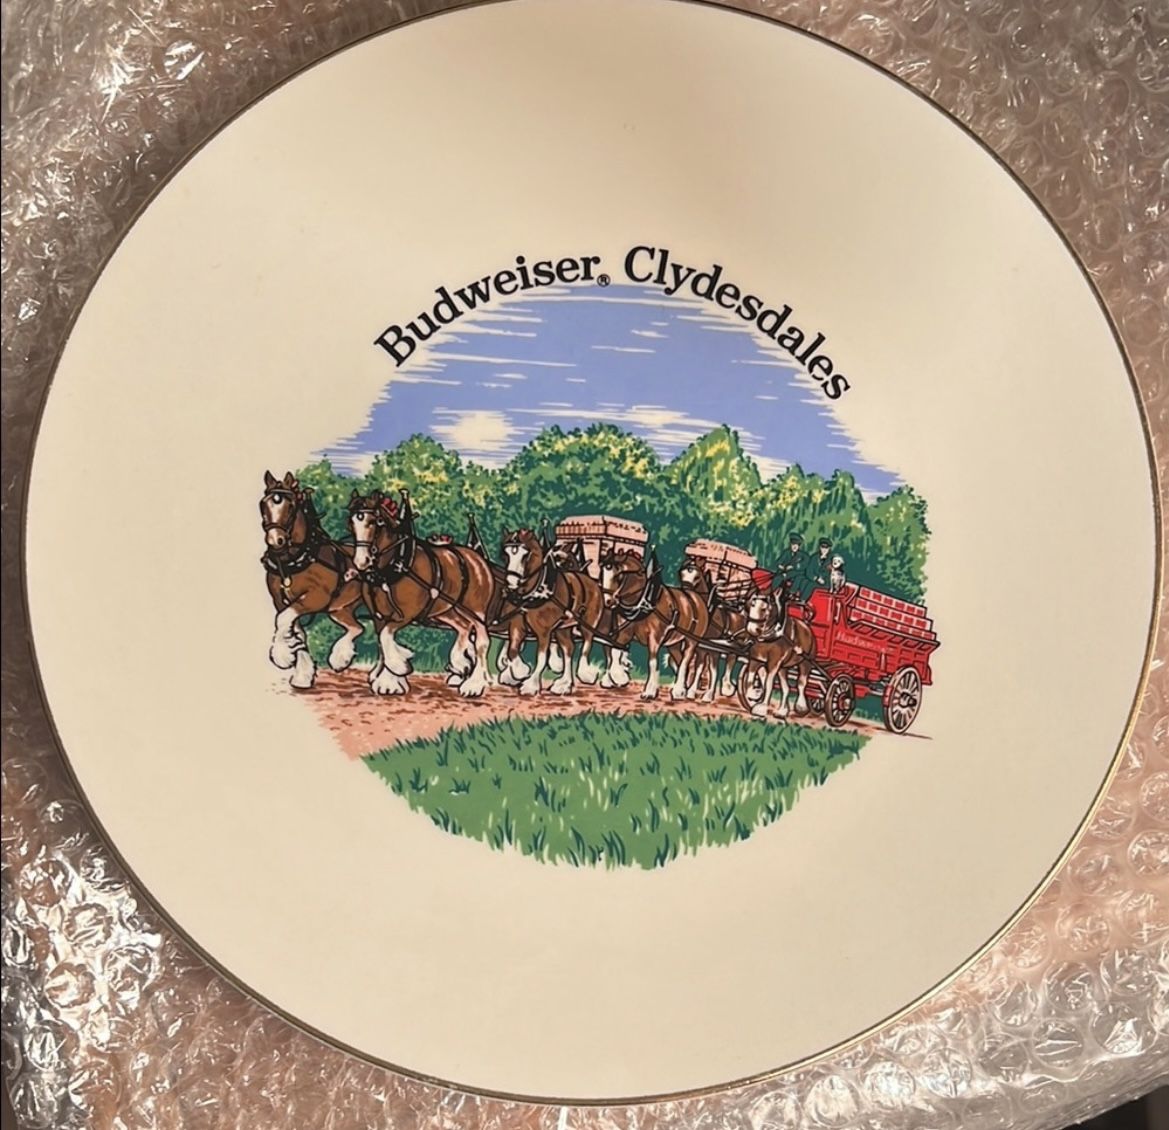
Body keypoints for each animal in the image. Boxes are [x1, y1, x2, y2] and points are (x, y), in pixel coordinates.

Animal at [259, 471, 365, 690]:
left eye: (290, 506)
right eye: (263, 504)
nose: (275, 540)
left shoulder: (315, 598)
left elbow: (283, 620)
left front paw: (282, 656)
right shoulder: (282, 601)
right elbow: (296, 631)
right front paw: (302, 675)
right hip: (339, 609)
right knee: (357, 627)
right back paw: (341, 658)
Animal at [349, 489, 496, 697]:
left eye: (377, 521)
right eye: (351, 522)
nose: (361, 561)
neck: (396, 564)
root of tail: (479, 559)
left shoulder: (406, 614)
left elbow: (385, 637)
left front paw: (397, 670)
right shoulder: (378, 615)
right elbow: (381, 643)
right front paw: (384, 677)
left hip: (476, 611)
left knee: (482, 640)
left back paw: (475, 684)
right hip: (447, 610)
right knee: (464, 628)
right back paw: (460, 664)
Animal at [600, 549, 710, 701]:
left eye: (618, 575)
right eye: (603, 571)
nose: (608, 601)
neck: (644, 600)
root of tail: (696, 597)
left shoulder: (655, 638)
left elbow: (652, 662)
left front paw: (650, 691)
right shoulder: (624, 633)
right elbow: (615, 651)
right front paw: (619, 677)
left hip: (692, 640)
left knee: (686, 661)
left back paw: (679, 691)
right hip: (673, 643)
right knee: (679, 660)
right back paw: (681, 689)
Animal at [738, 584, 816, 720]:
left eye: (765, 609)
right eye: (750, 604)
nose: (753, 629)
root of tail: (806, 625)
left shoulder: (774, 663)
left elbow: (768, 683)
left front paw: (761, 707)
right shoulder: (755, 659)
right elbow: (750, 680)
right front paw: (755, 693)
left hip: (806, 663)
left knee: (801, 683)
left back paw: (801, 706)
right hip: (783, 668)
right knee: (786, 688)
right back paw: (782, 711)